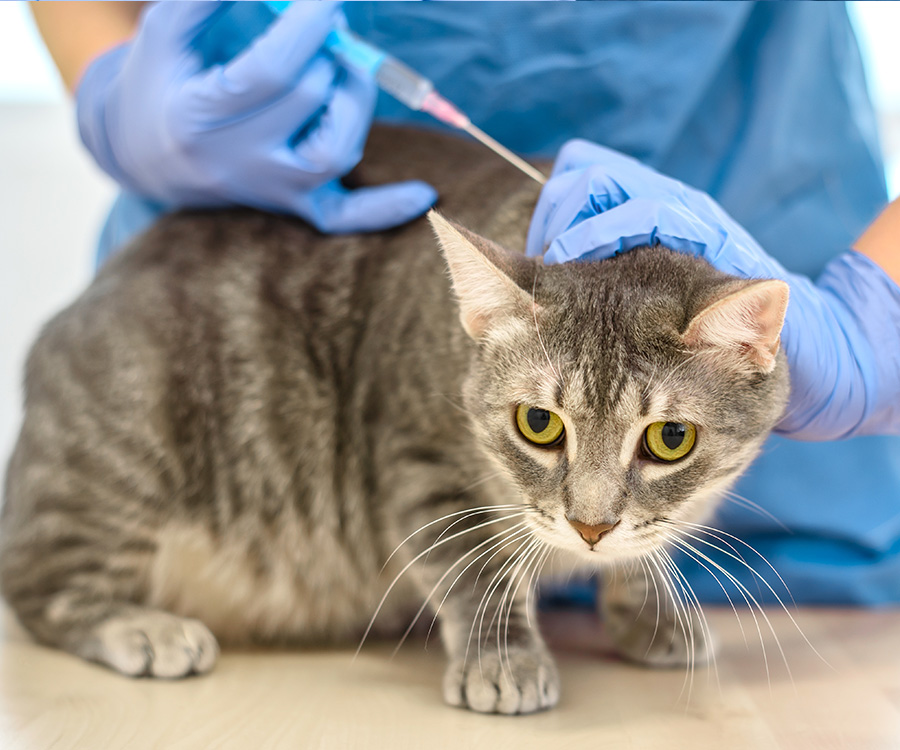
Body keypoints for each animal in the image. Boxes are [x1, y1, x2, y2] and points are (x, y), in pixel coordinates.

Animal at [0, 128, 788, 716]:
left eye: (669, 439)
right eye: (539, 423)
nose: (589, 528)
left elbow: (646, 552)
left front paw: (651, 611)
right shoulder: (417, 464)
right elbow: (478, 571)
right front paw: (503, 657)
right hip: (121, 452)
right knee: (40, 585)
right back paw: (142, 625)